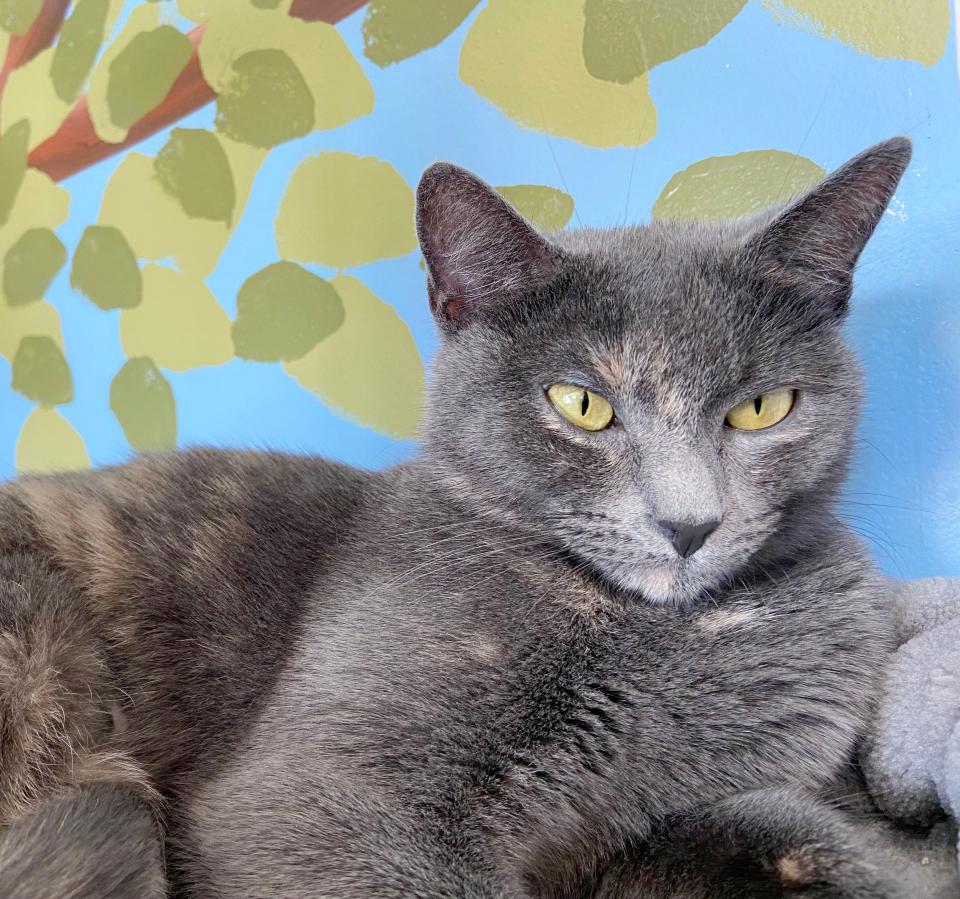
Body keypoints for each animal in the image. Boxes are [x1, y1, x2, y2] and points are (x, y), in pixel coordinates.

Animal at [0, 137, 916, 896]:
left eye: (762, 408)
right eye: (580, 403)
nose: (690, 523)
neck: (675, 636)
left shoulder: (654, 826)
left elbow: (784, 829)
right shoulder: (315, 795)